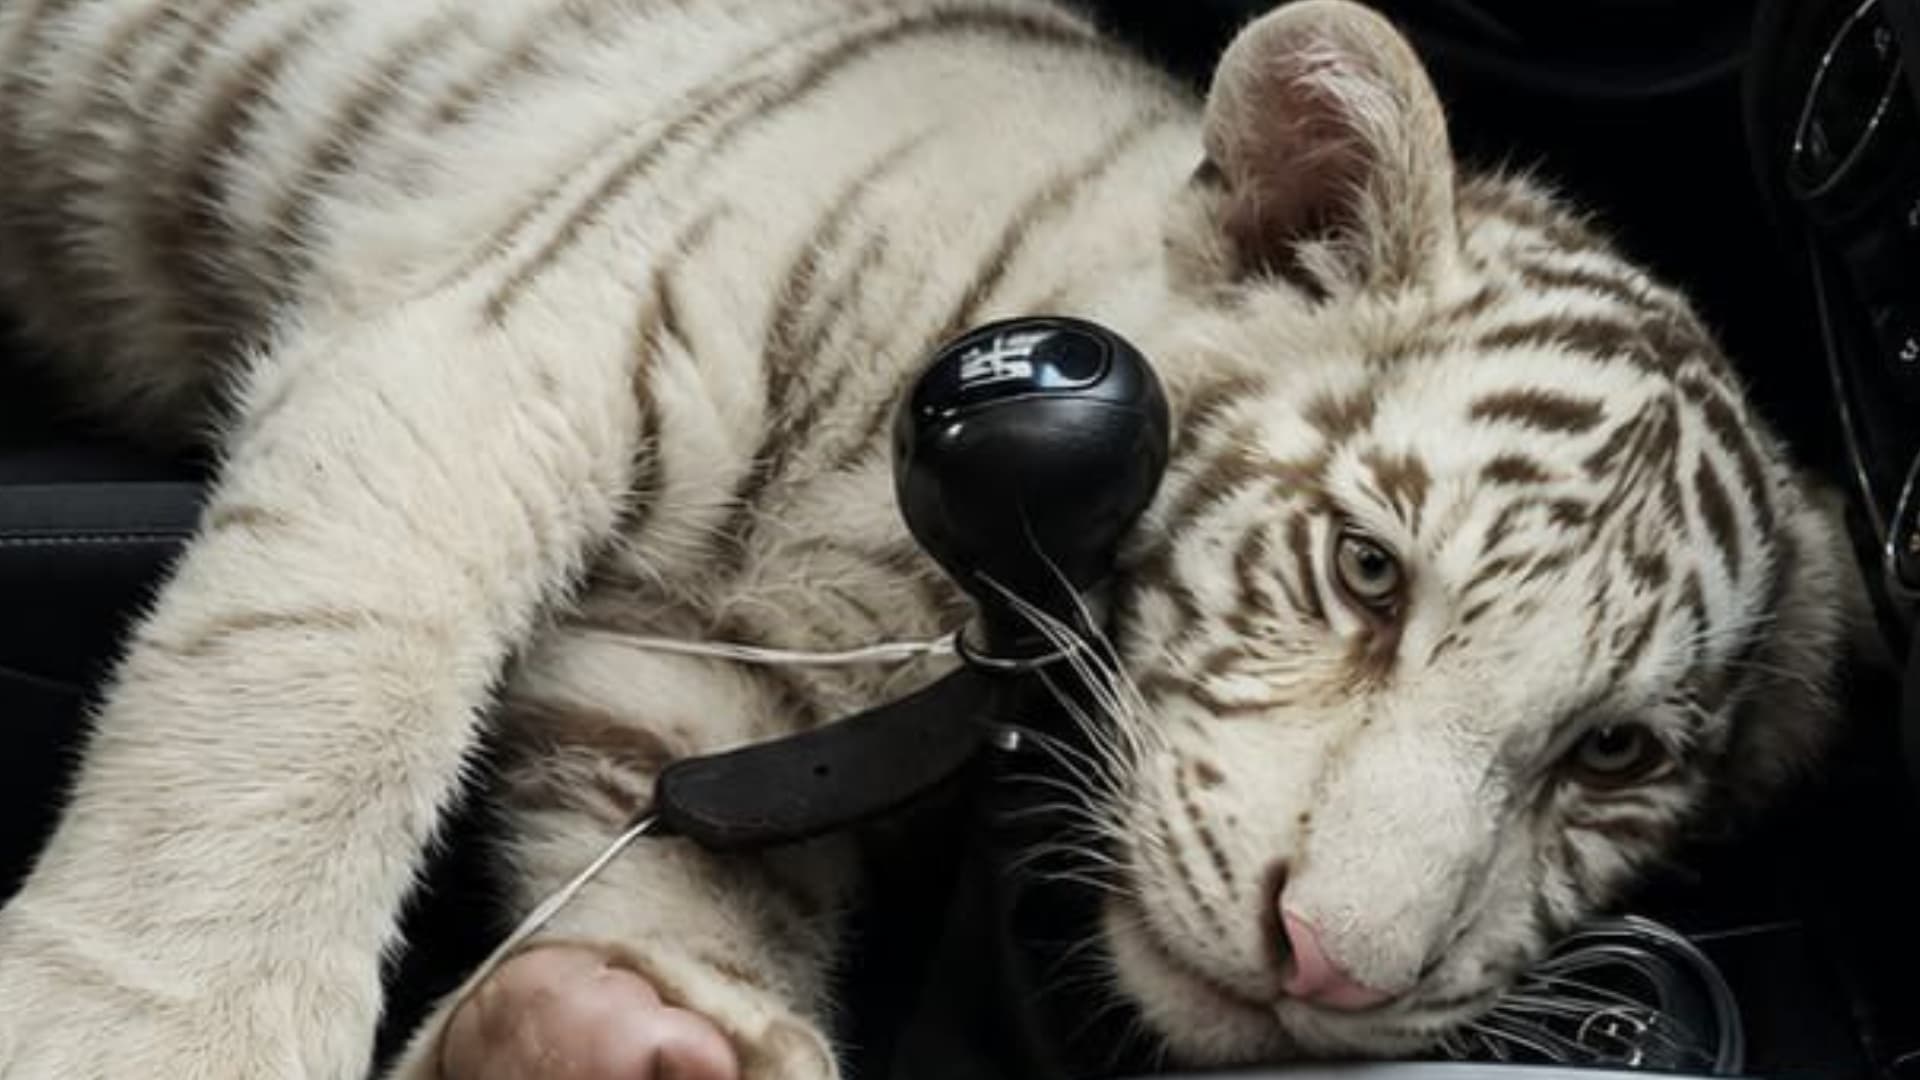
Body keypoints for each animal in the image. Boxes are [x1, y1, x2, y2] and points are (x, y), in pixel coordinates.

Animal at [0, 0, 1856, 1077]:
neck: (910, 581)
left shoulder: (704, 696)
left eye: (1613, 754)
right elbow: (299, 716)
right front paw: (144, 1042)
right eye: (1367, 572)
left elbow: (682, 873)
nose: (1332, 969)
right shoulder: (487, 356)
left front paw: (603, 1026)